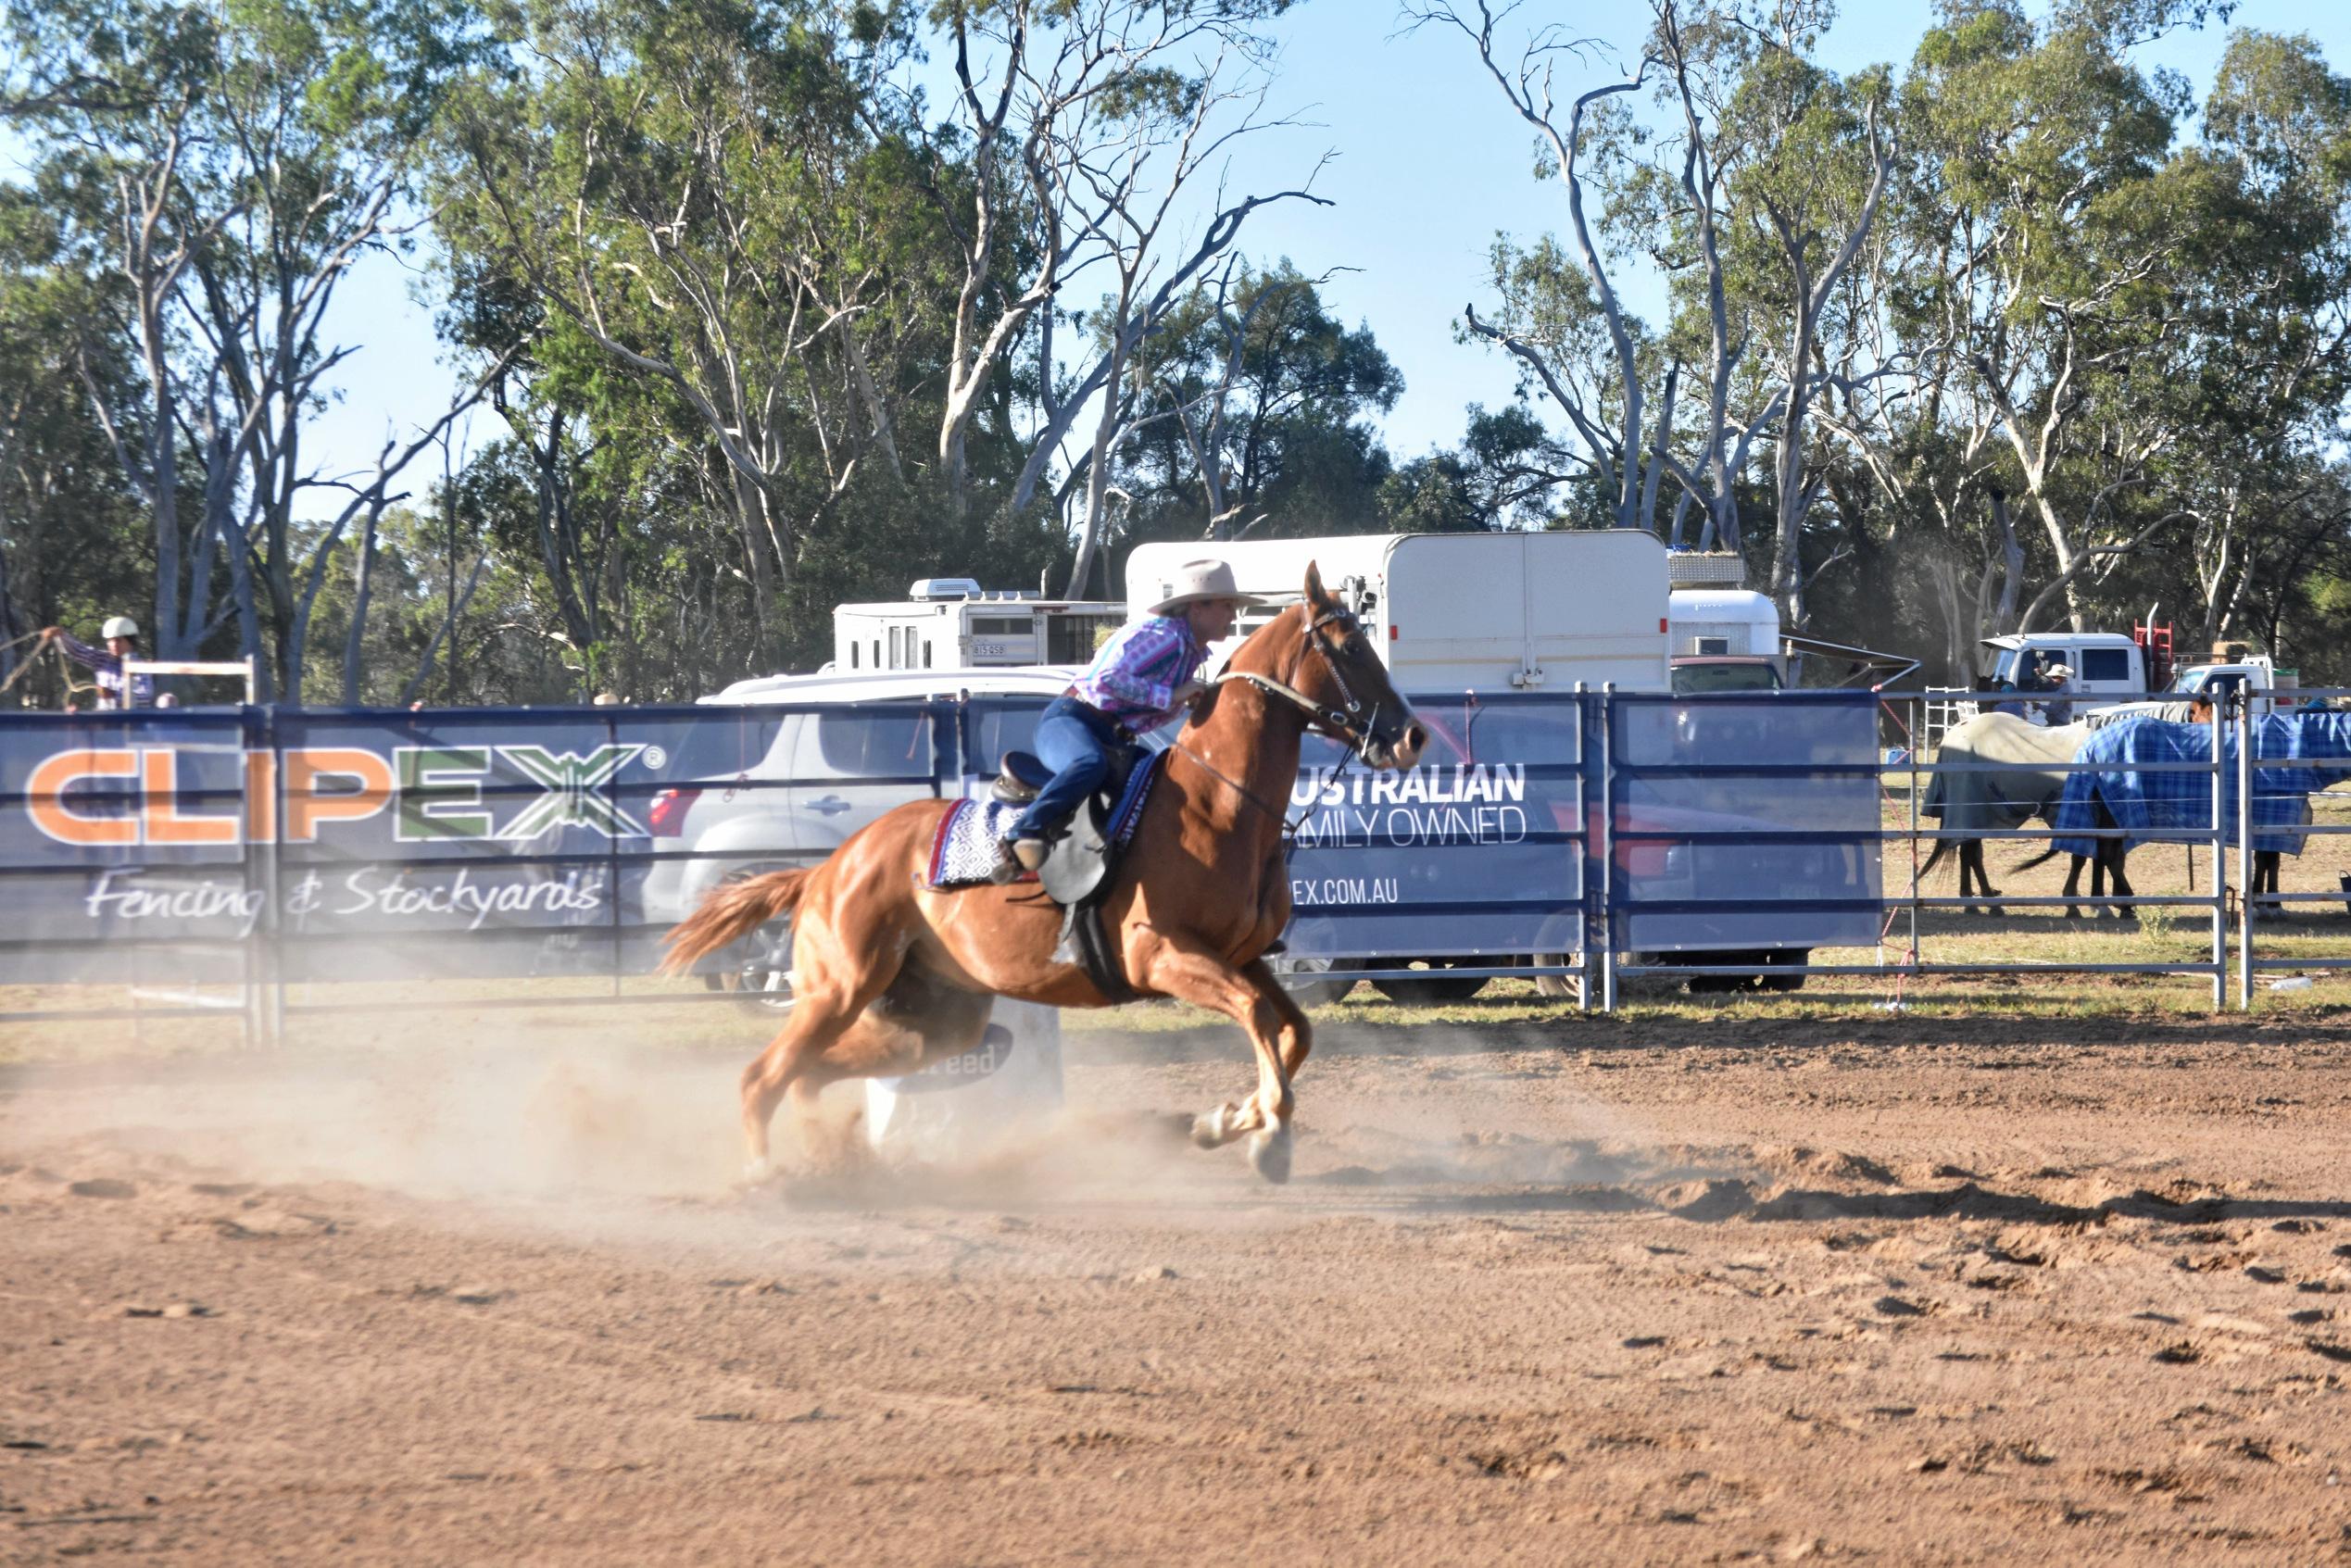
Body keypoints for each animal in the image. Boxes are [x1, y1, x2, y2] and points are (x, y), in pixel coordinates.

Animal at [667, 566, 1429, 1189]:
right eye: (1349, 648)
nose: (1413, 735)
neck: (1217, 803)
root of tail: (829, 867)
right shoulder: (1163, 955)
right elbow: (1259, 1017)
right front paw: (1266, 1137)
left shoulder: (1239, 955)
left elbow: (1293, 1030)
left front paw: (1222, 1122)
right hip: (838, 987)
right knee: (763, 1076)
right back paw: (767, 1175)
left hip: (936, 1018)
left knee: (813, 1074)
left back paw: (835, 1162)